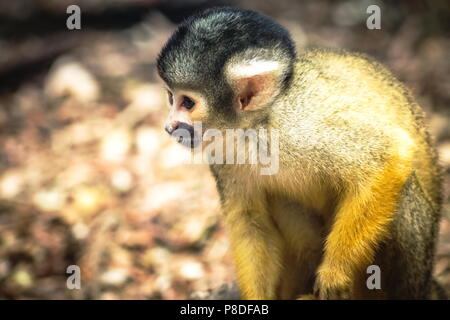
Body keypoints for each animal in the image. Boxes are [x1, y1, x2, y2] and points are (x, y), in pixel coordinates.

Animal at [157, 6, 442, 298]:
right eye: (171, 98)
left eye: (187, 103)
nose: (169, 126)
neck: (256, 126)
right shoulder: (221, 149)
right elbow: (251, 222)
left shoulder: (305, 123)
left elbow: (389, 155)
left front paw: (334, 273)